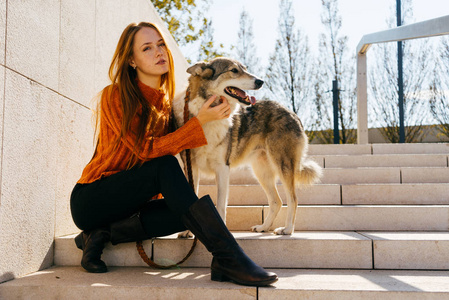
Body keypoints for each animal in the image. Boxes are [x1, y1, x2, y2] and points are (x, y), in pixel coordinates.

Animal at [172, 56, 322, 234]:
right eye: (234, 70)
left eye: (245, 69)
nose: (260, 81)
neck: (207, 116)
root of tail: (290, 112)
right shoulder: (192, 168)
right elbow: (194, 199)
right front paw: (188, 233)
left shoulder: (222, 168)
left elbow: (221, 205)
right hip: (261, 172)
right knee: (277, 201)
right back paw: (263, 227)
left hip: (282, 166)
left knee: (293, 199)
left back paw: (287, 230)